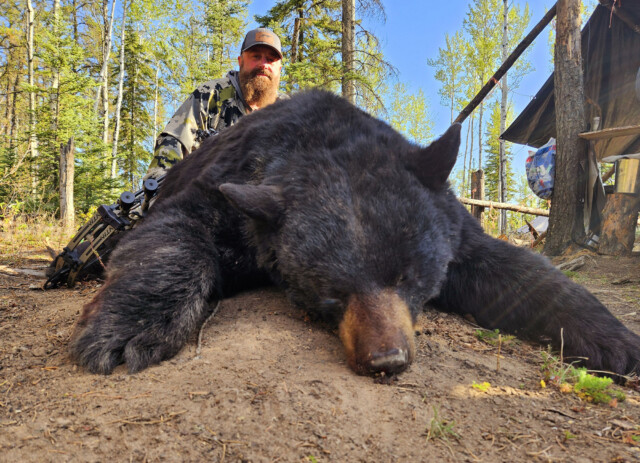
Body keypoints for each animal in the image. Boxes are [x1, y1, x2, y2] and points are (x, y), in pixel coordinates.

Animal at [70, 89, 640, 378]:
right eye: (330, 294)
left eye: (410, 277)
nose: (387, 361)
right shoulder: (235, 195)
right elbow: (171, 233)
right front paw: (126, 329)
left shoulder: (454, 230)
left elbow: (524, 274)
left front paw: (617, 342)